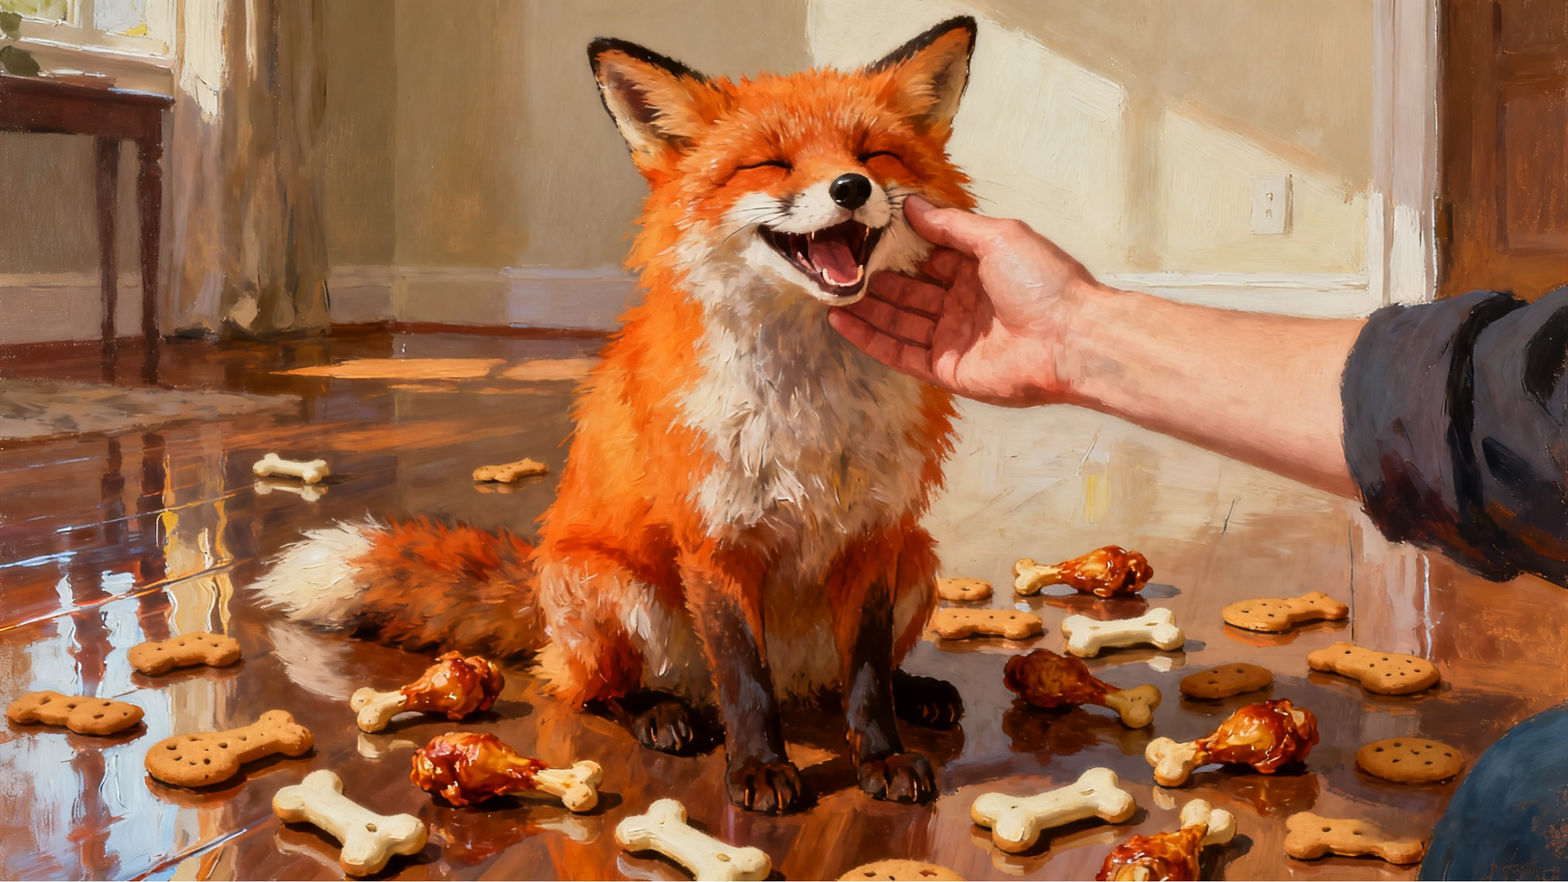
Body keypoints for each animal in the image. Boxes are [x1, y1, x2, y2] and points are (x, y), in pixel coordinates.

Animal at [255, 16, 979, 815]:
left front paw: (882, 755)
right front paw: (758, 769)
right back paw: (661, 714)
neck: (811, 405)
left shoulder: (875, 536)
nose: (851, 188)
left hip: (920, 557)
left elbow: (868, 676)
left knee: (832, 680)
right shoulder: (715, 540)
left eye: (873, 154)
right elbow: (743, 680)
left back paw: (918, 691)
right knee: (590, 690)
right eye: (769, 164)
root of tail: (539, 582)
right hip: (612, 590)